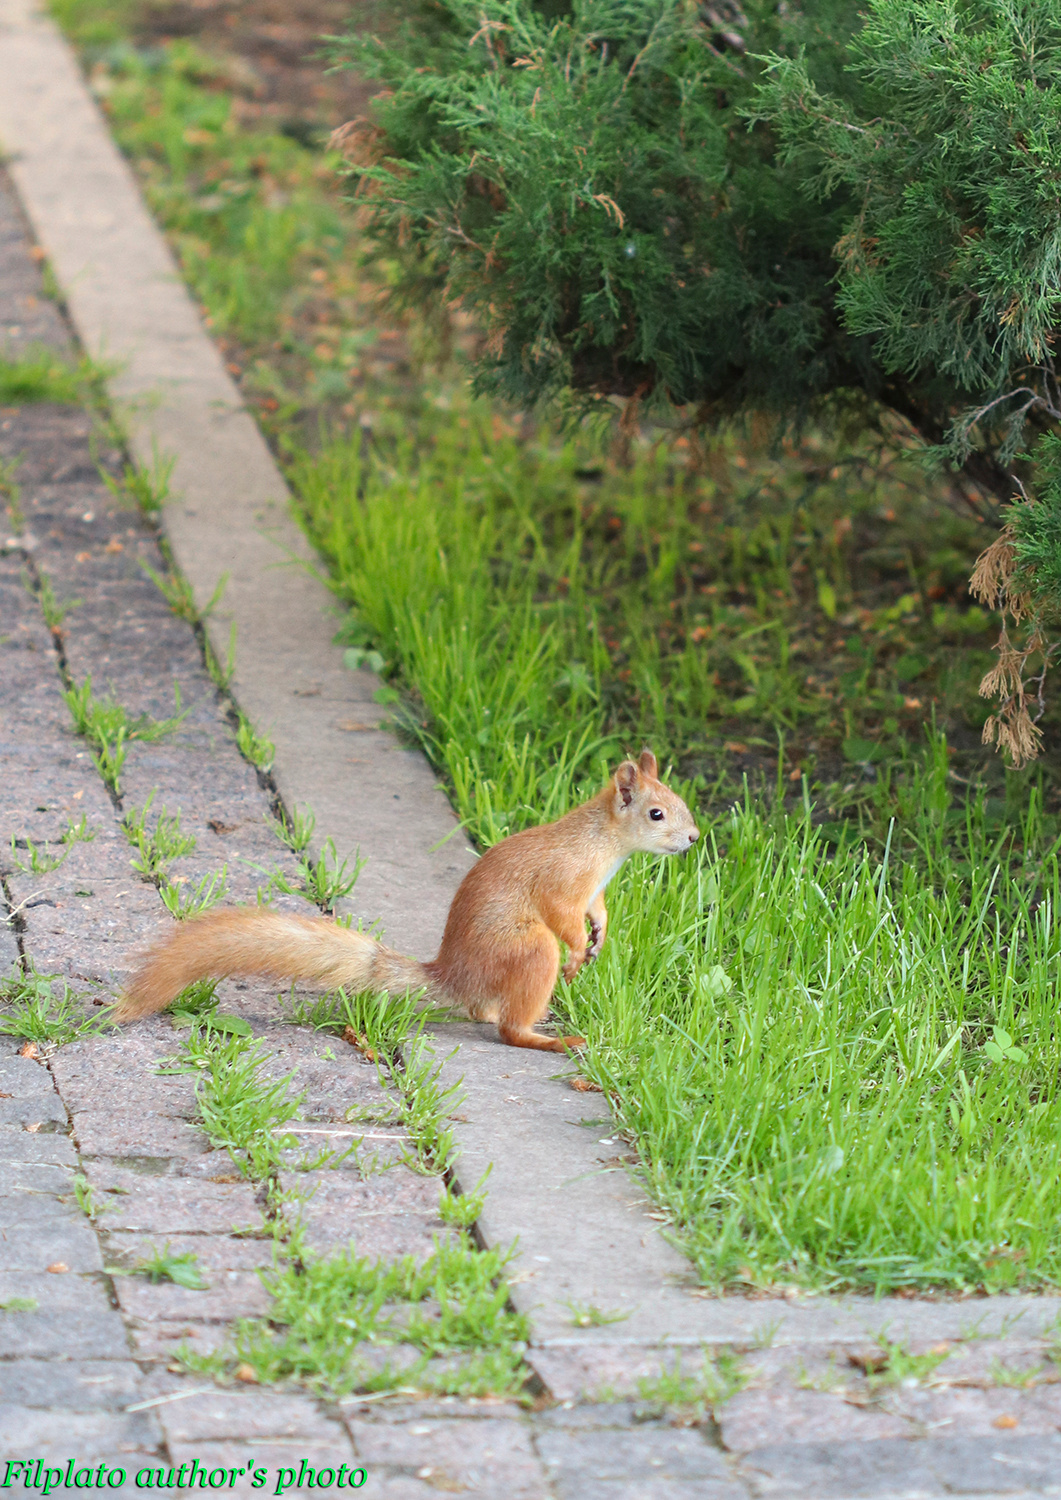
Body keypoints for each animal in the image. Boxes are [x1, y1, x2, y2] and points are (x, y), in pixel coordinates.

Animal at [113, 750, 699, 1053]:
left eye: (679, 801)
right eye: (656, 813)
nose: (694, 838)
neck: (604, 844)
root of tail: (456, 975)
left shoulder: (594, 892)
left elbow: (598, 912)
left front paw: (601, 935)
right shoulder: (563, 881)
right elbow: (564, 916)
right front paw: (581, 949)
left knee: (486, 1012)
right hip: (528, 949)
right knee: (509, 1024)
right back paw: (547, 1038)